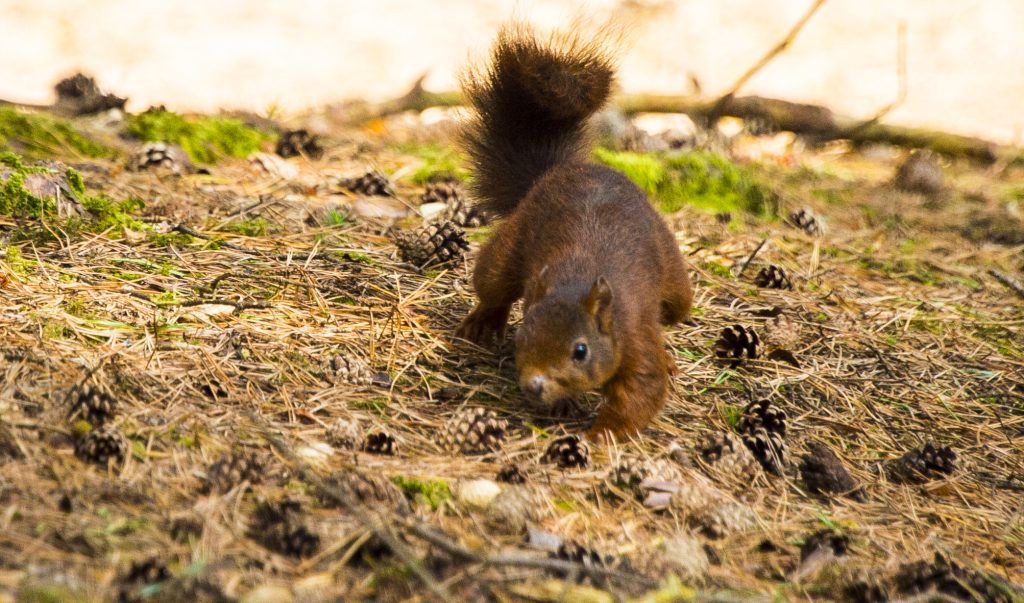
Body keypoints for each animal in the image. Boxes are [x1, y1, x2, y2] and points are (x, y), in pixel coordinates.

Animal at [455, 23, 694, 440]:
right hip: (510, 245)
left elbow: (641, 389)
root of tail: (566, 169)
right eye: (523, 336)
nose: (535, 385)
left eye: (580, 351)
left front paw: (601, 435)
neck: (577, 282)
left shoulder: (633, 336)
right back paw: (482, 323)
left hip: (675, 280)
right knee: (493, 287)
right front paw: (563, 406)